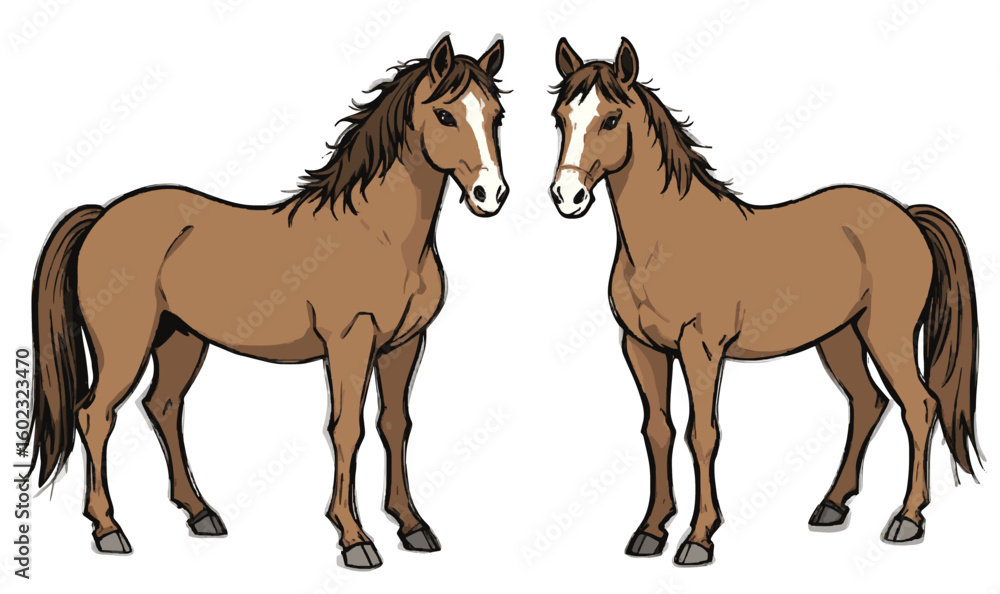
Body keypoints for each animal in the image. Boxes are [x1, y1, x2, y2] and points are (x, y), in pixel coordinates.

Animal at [29, 34, 508, 569]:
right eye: (445, 114)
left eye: (496, 115)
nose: (491, 194)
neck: (381, 234)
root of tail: (103, 214)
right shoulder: (350, 342)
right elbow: (347, 429)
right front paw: (354, 537)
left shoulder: (404, 344)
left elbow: (395, 425)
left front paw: (412, 525)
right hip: (126, 345)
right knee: (96, 416)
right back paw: (109, 529)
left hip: (180, 338)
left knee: (163, 406)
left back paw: (200, 513)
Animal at [548, 37, 979, 566]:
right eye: (560, 118)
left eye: (610, 119)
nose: (566, 196)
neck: (666, 241)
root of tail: (907, 215)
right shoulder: (641, 347)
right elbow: (658, 431)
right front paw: (651, 530)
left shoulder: (701, 349)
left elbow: (702, 434)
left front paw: (698, 538)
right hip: (840, 337)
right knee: (868, 402)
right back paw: (832, 505)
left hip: (886, 335)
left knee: (918, 406)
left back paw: (907, 519)